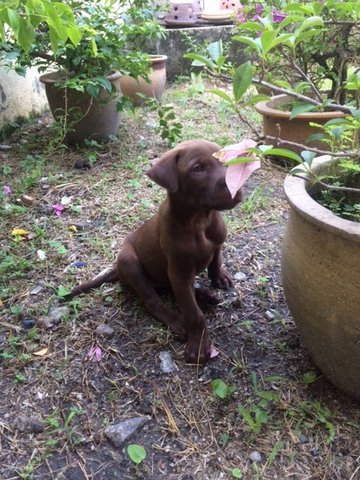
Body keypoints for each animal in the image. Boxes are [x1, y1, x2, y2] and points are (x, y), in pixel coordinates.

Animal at [67, 140, 242, 364]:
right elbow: (193, 313)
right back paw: (178, 321)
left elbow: (215, 259)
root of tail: (117, 271)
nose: (236, 186)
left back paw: (204, 296)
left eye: (227, 161)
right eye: (197, 169)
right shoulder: (179, 272)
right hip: (129, 261)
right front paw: (198, 345)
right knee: (152, 299)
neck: (199, 221)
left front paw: (219, 277)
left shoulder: (216, 242)